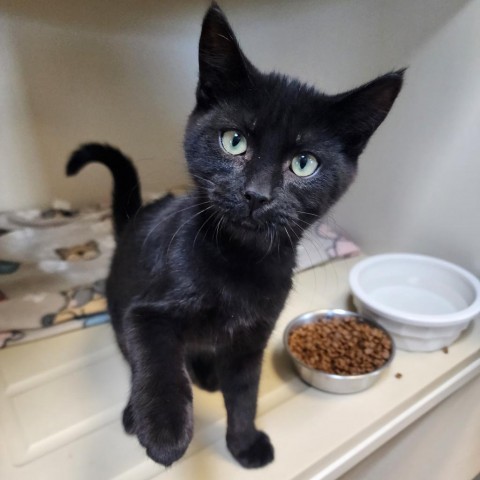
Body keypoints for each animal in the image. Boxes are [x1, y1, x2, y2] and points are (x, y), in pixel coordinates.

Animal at [65, 1, 404, 470]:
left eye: (304, 164)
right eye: (234, 141)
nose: (256, 194)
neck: (240, 262)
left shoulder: (251, 340)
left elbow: (245, 395)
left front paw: (244, 444)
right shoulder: (145, 311)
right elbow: (158, 363)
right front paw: (165, 431)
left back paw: (208, 375)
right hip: (119, 310)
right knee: (135, 358)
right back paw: (139, 411)